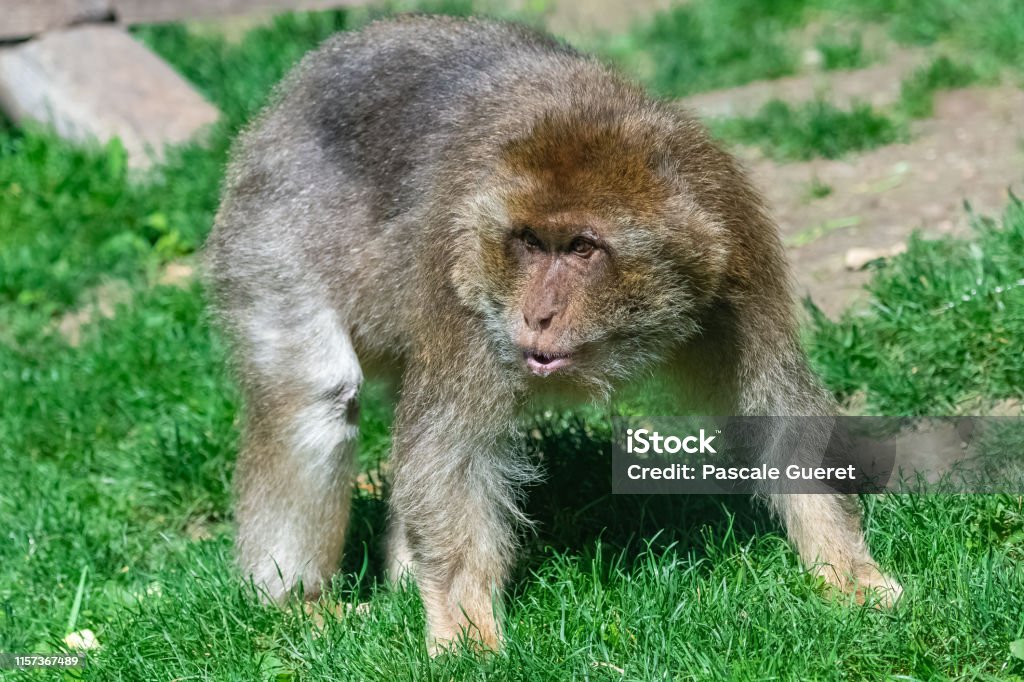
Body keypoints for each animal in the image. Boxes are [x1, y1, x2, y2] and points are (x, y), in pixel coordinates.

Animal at [203, 15, 901, 651]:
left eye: (582, 248)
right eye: (531, 243)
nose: (537, 314)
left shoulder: (736, 258)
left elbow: (777, 413)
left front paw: (846, 569)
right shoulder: (465, 279)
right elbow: (452, 454)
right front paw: (464, 626)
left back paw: (402, 582)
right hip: (270, 224)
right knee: (314, 397)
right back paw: (292, 602)